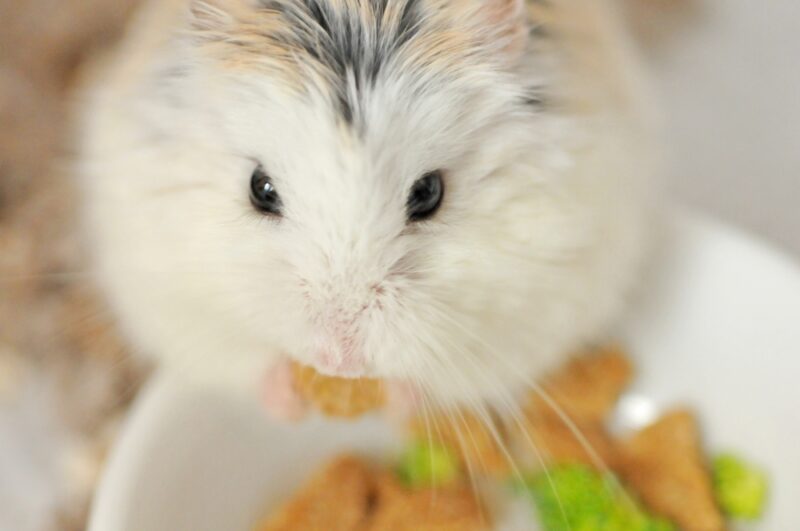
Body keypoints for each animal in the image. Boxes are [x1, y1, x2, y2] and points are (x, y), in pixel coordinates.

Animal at [77, 0, 656, 419]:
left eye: (428, 193)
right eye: (260, 189)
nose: (340, 362)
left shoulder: (544, 300)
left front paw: (397, 397)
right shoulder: (164, 288)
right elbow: (243, 358)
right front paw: (288, 398)